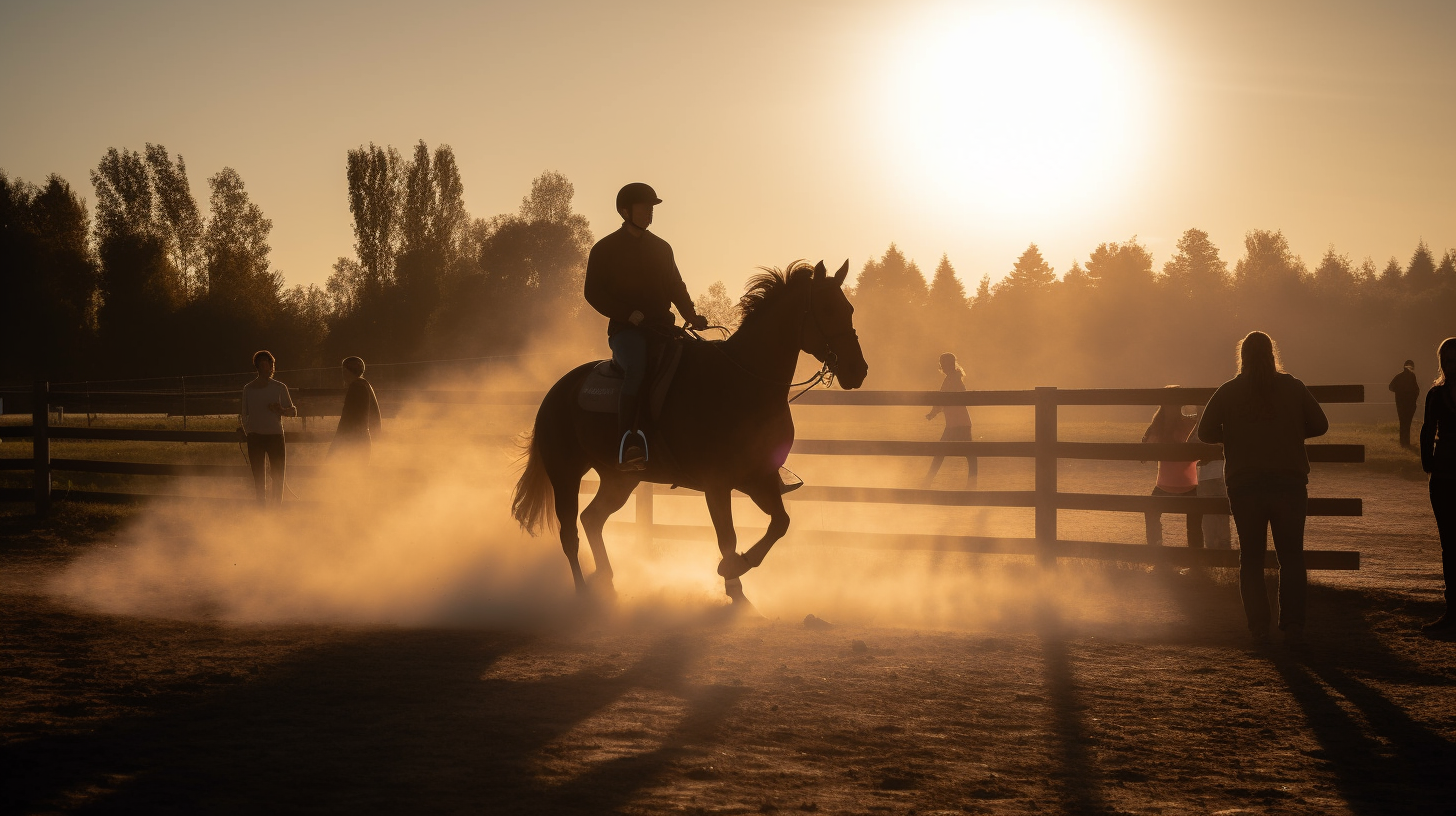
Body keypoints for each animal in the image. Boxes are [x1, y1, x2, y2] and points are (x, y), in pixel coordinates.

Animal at [515, 257, 861, 603]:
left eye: (849, 309)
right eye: (827, 309)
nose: (858, 370)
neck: (743, 383)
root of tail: (557, 390)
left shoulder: (759, 478)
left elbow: (780, 523)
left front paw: (738, 568)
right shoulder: (717, 484)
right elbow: (728, 537)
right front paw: (734, 584)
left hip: (619, 479)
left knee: (592, 519)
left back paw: (608, 581)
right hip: (565, 473)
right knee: (570, 533)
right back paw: (584, 592)